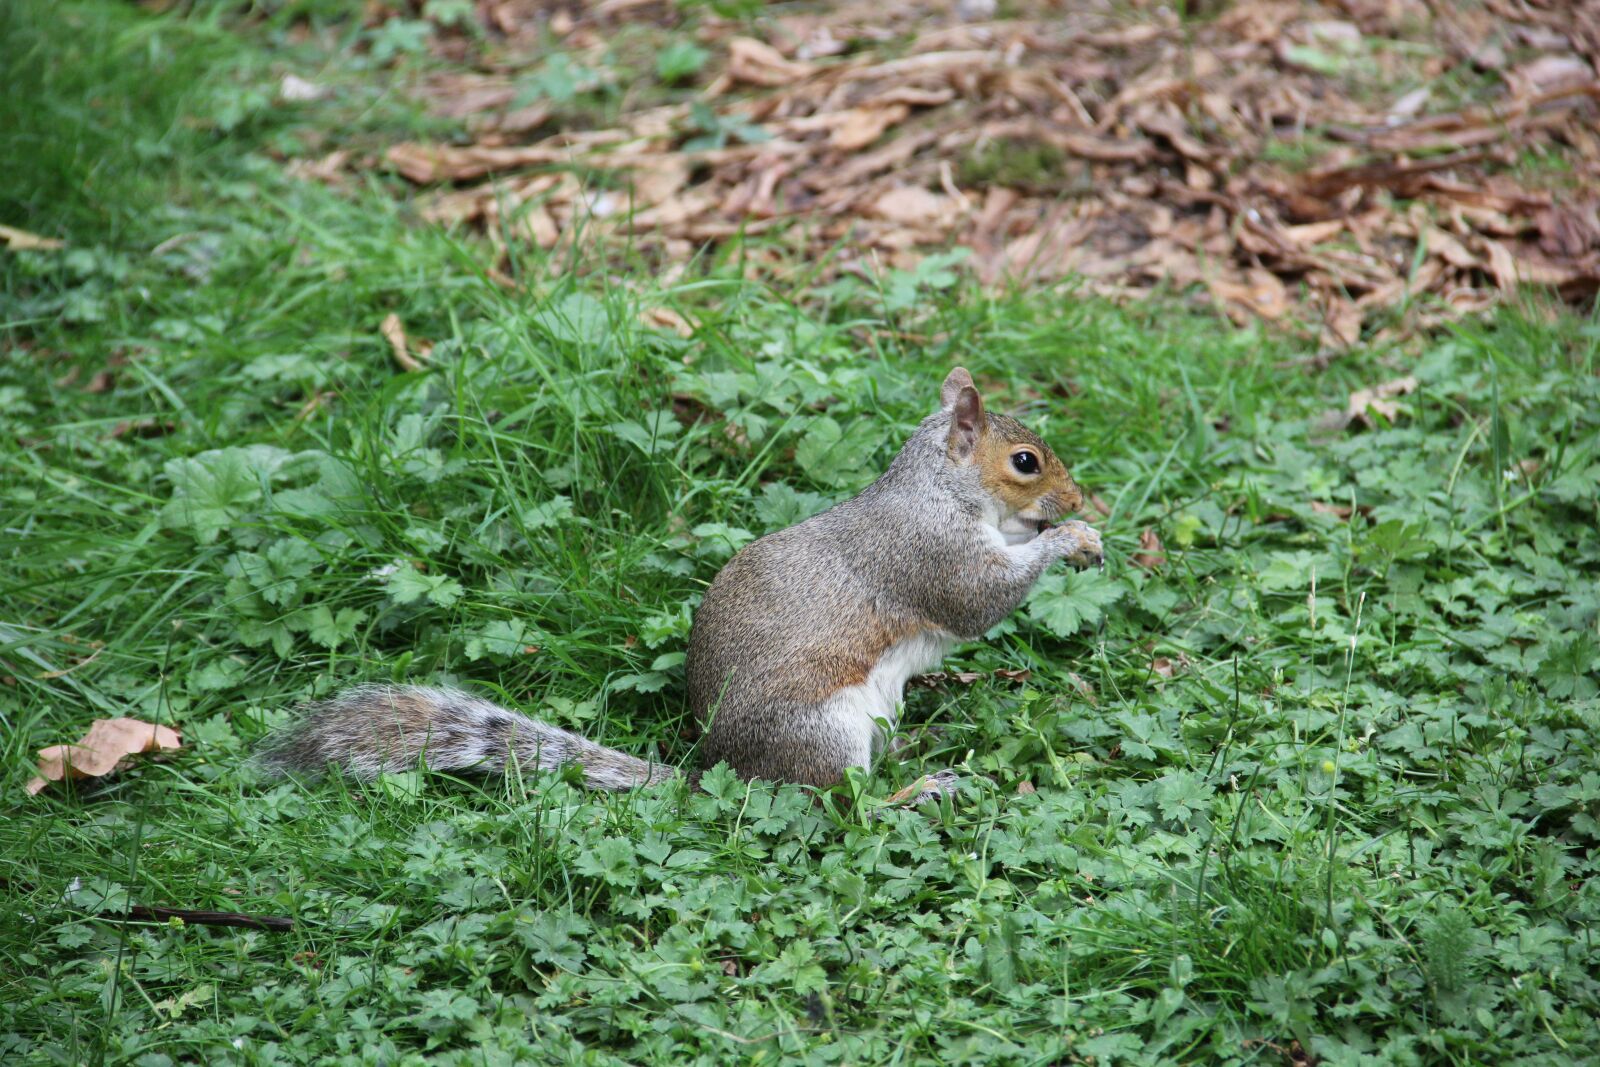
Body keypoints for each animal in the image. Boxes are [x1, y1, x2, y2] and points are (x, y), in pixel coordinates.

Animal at [257, 368, 1104, 802]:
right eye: (1025, 461)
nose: (1078, 498)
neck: (940, 488)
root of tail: (727, 771)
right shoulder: (929, 555)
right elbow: (979, 601)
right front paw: (1067, 540)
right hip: (822, 730)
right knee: (840, 803)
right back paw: (917, 789)